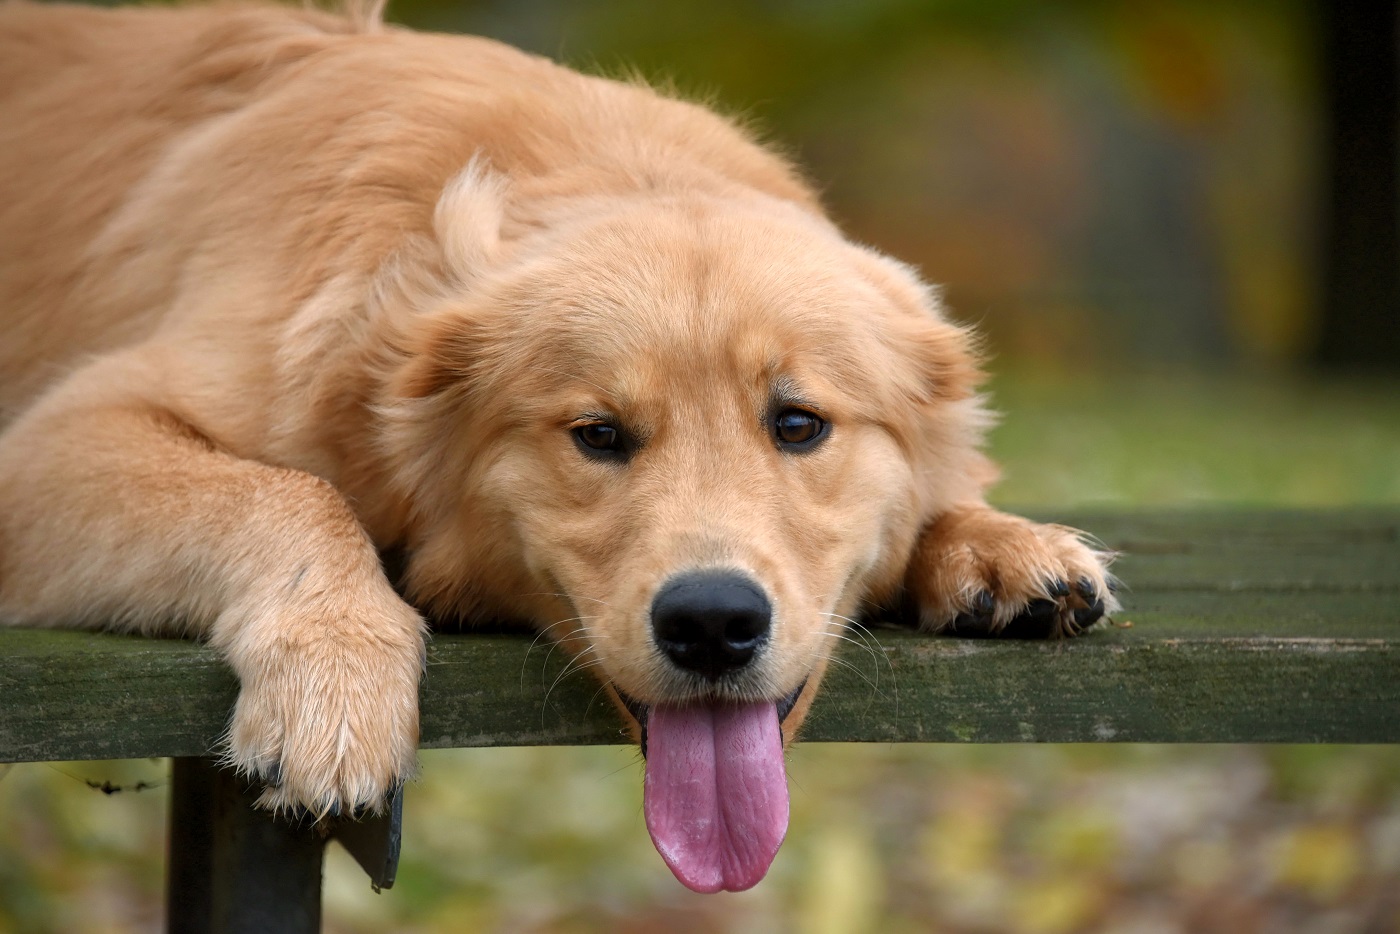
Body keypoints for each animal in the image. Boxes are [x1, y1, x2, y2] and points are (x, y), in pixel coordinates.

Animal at [0, 0, 1114, 890]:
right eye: (597, 435)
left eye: (798, 424)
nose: (713, 624)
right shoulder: (55, 437)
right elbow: (286, 493)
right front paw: (338, 680)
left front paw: (997, 544)